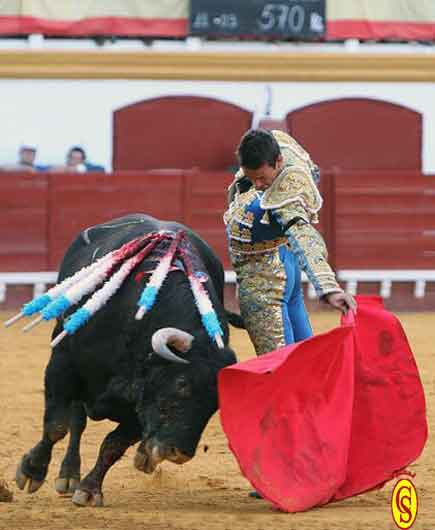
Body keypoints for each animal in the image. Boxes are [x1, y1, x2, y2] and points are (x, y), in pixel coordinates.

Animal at [15, 214, 239, 507]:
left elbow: (113, 444)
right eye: (181, 384)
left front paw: (90, 490)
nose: (179, 453)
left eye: (217, 402)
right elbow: (57, 426)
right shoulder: (63, 365)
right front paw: (31, 471)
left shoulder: (141, 403)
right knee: (77, 421)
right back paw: (68, 474)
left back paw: (142, 455)